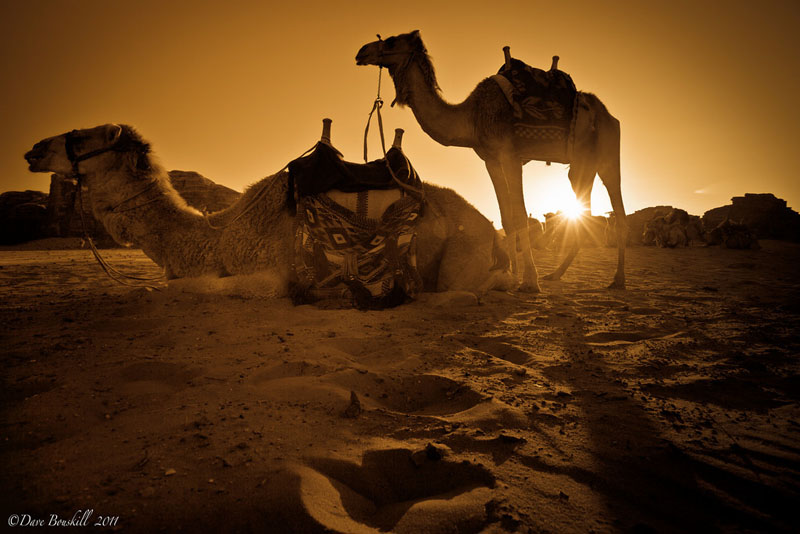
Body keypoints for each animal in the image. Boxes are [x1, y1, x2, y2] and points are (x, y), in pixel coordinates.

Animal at [26, 124, 512, 298]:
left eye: (85, 137)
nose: (34, 149)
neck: (218, 237)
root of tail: (490, 227)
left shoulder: (272, 274)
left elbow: (188, 288)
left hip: (463, 255)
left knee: (465, 287)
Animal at [356, 31, 624, 292]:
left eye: (391, 41)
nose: (362, 51)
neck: (472, 117)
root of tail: (609, 114)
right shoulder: (490, 158)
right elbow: (506, 217)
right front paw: (512, 275)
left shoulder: (510, 154)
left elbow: (520, 214)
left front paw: (530, 282)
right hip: (581, 165)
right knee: (584, 208)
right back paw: (556, 274)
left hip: (608, 153)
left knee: (617, 207)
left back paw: (618, 280)